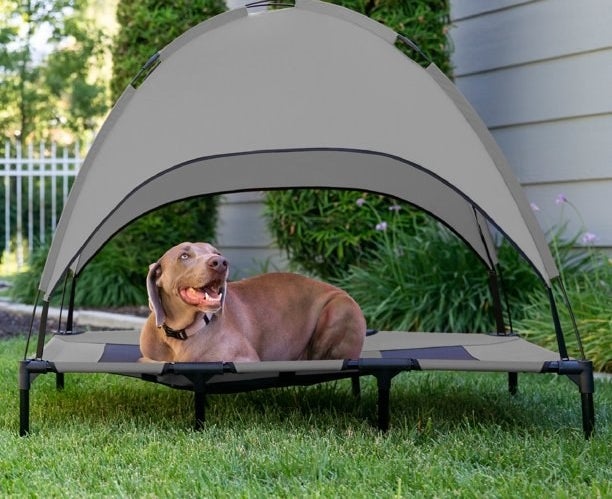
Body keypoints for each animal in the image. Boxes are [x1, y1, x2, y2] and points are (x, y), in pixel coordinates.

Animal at [141, 242, 366, 364]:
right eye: (184, 255)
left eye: (217, 252)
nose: (220, 262)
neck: (180, 334)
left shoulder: (245, 358)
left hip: (338, 309)